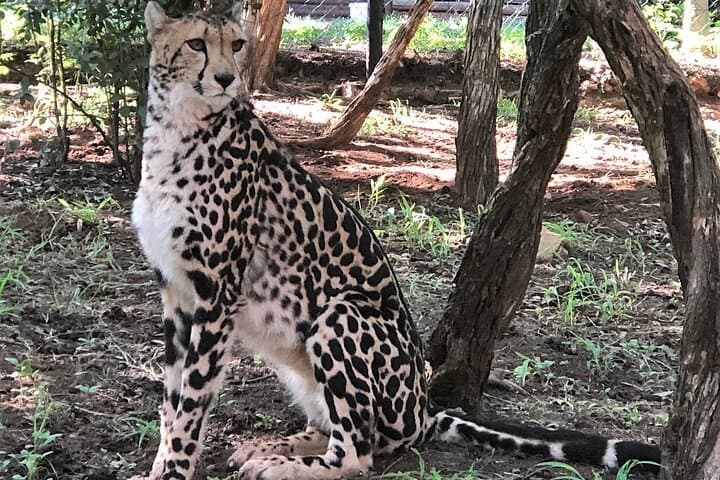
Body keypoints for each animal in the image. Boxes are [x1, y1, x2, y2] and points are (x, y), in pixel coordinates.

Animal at [131, 3, 661, 479]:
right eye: (196, 44)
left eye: (237, 45)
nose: (226, 78)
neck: (178, 130)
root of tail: (423, 406)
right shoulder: (177, 294)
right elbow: (171, 399)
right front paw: (159, 466)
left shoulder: (217, 298)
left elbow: (191, 403)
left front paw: (174, 470)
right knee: (345, 431)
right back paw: (274, 445)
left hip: (340, 313)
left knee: (358, 451)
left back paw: (281, 464)